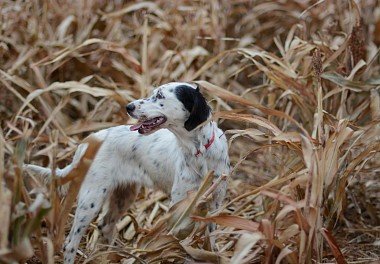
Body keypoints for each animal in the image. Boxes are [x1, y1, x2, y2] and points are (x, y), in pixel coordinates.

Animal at [26, 82, 232, 262]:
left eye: (159, 96)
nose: (129, 106)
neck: (200, 152)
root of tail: (88, 142)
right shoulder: (180, 203)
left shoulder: (216, 202)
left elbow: (211, 237)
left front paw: (212, 255)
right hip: (91, 199)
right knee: (70, 243)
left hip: (124, 194)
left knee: (105, 225)